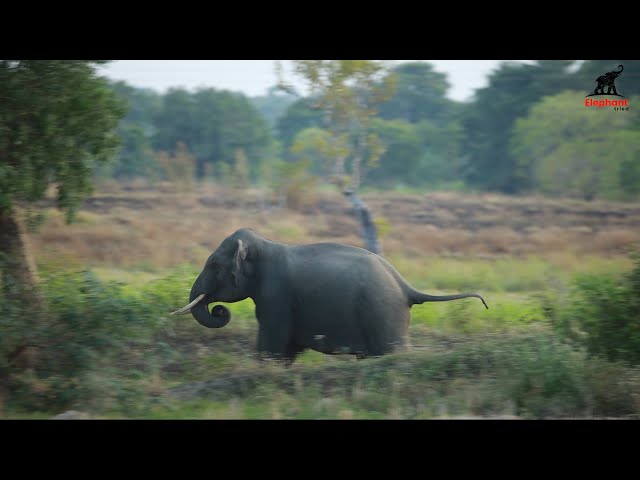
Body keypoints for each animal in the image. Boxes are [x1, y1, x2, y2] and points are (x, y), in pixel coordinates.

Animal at [172, 230, 488, 364]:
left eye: (214, 265)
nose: (219, 310)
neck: (265, 244)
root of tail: (405, 286)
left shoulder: (275, 295)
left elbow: (273, 340)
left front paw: (265, 368)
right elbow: (286, 346)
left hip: (383, 312)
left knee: (391, 352)